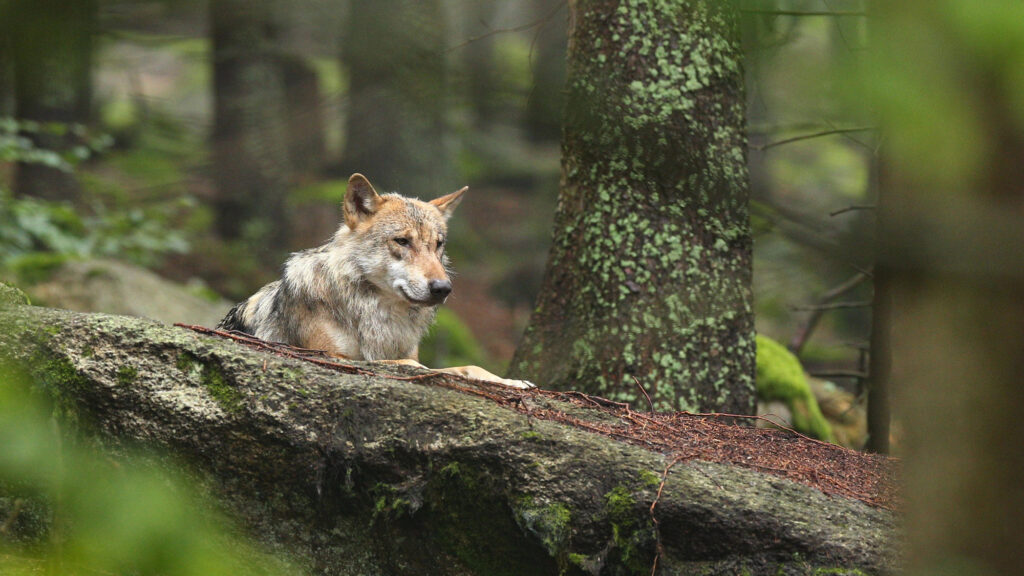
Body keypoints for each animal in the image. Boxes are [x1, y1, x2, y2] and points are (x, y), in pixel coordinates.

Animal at [218, 173, 532, 389]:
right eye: (402, 241)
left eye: (438, 244)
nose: (443, 288)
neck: (380, 312)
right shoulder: (331, 356)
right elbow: (416, 366)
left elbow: (467, 367)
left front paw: (513, 382)